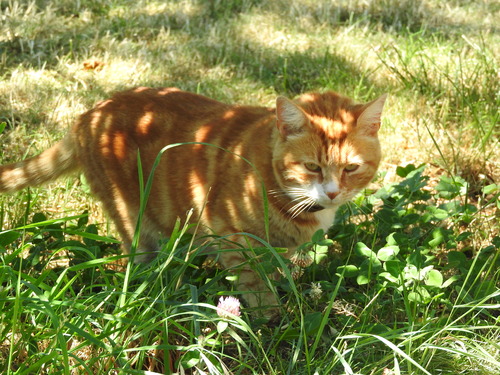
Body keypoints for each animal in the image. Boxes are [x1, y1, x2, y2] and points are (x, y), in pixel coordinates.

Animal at [0, 87, 386, 312]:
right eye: (311, 167)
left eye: (351, 168)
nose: (333, 192)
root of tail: (89, 115)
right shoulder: (235, 237)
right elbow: (255, 284)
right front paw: (269, 317)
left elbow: (281, 272)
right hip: (134, 219)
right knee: (139, 259)